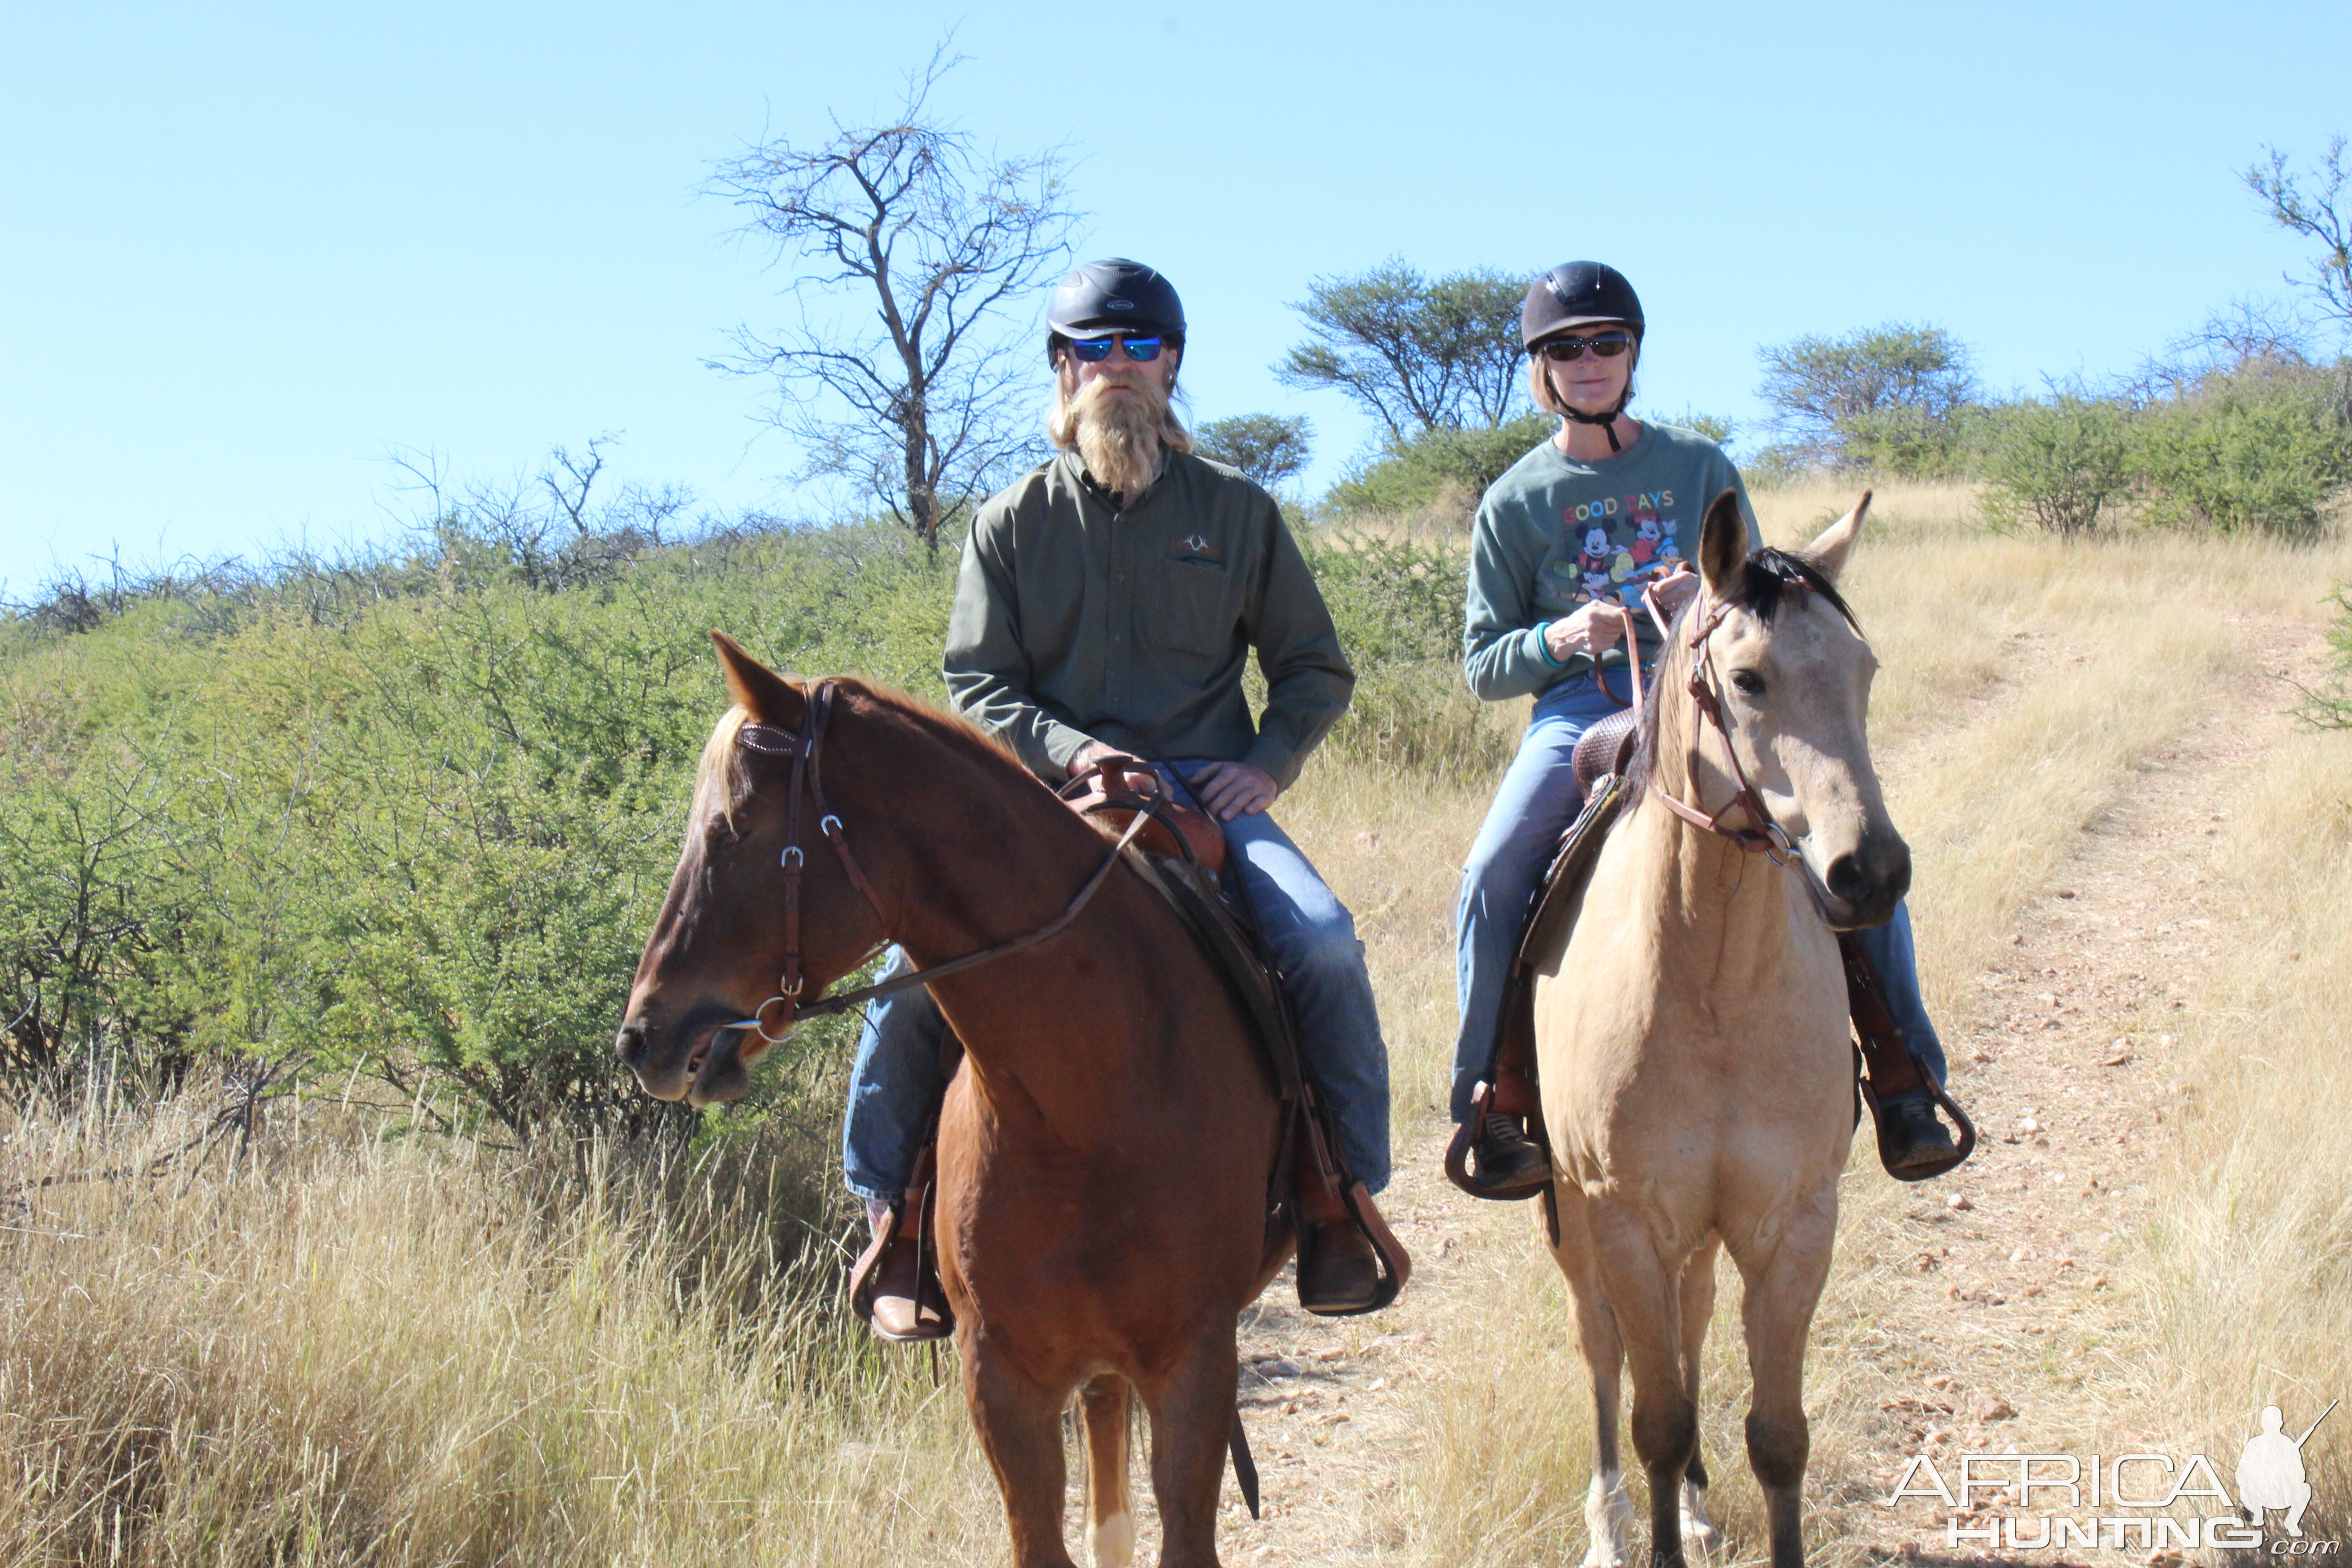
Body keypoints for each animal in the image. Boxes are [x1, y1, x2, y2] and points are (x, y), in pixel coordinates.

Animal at [1533, 494, 1900, 1568]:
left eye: (1863, 671)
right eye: (1747, 679)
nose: (1872, 871)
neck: (1714, 985)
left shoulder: (1792, 1220)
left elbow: (1776, 1436)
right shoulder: (1622, 1215)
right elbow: (1656, 1418)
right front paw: (1647, 1521)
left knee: (1691, 1323)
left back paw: (1696, 1507)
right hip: (1573, 1212)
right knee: (1601, 1345)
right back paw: (1608, 1523)